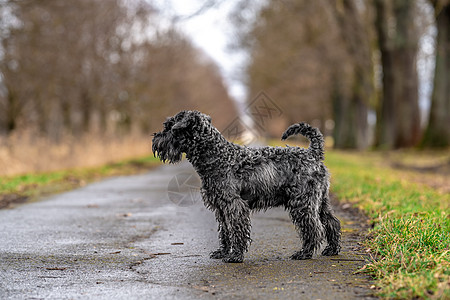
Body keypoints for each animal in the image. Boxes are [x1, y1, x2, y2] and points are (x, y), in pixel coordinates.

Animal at [152, 110, 342, 262]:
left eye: (170, 127)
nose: (155, 139)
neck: (216, 155)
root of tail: (313, 154)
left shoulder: (234, 205)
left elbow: (237, 230)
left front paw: (235, 255)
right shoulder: (221, 207)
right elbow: (225, 231)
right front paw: (223, 252)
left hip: (303, 203)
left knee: (313, 228)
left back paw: (304, 253)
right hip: (320, 201)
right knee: (332, 222)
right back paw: (331, 249)